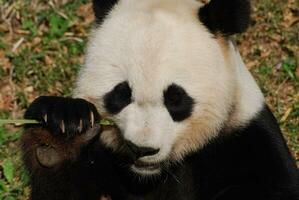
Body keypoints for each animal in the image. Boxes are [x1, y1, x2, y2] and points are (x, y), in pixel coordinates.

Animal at [21, 0, 299, 200]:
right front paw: (60, 136)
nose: (141, 149)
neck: (149, 176)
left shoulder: (245, 136)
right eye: (121, 94)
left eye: (176, 99)